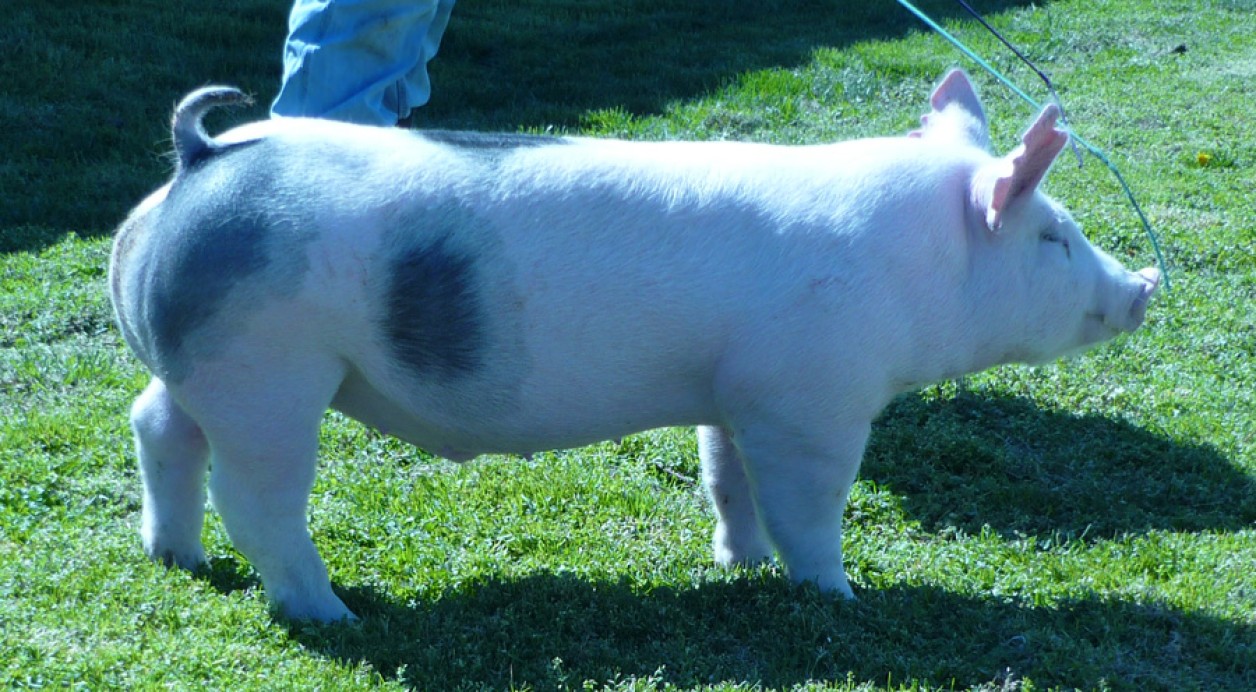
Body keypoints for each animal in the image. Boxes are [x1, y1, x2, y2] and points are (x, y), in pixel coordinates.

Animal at [109, 69, 1160, 622]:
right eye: (1054, 238)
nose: (1144, 287)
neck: (914, 267)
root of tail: (201, 160)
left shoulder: (738, 393)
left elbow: (728, 480)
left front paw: (741, 566)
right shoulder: (815, 402)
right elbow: (810, 505)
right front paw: (839, 597)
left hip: (198, 365)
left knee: (155, 423)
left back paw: (176, 558)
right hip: (270, 372)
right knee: (256, 498)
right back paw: (329, 611)